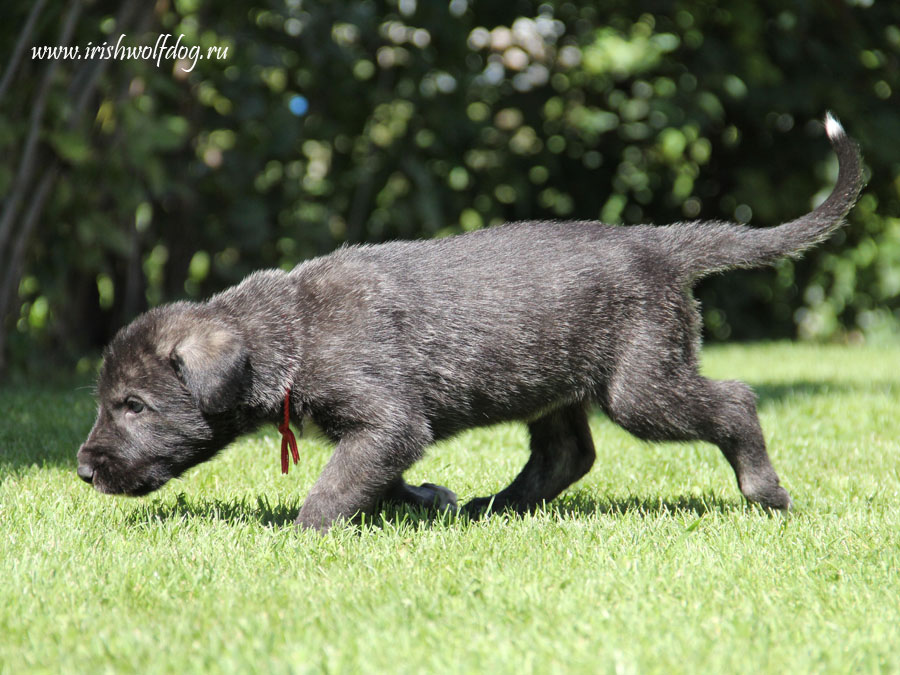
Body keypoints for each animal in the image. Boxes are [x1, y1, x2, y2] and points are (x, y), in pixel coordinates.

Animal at [77, 113, 864, 532]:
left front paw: (301, 532)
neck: (286, 334)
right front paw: (428, 498)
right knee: (567, 454)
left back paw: (764, 490)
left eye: (134, 405)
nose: (84, 468)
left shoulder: (386, 418)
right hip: (554, 380)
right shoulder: (383, 433)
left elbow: (341, 481)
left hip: (641, 386)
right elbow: (379, 475)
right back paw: (496, 506)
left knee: (734, 401)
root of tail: (658, 246)